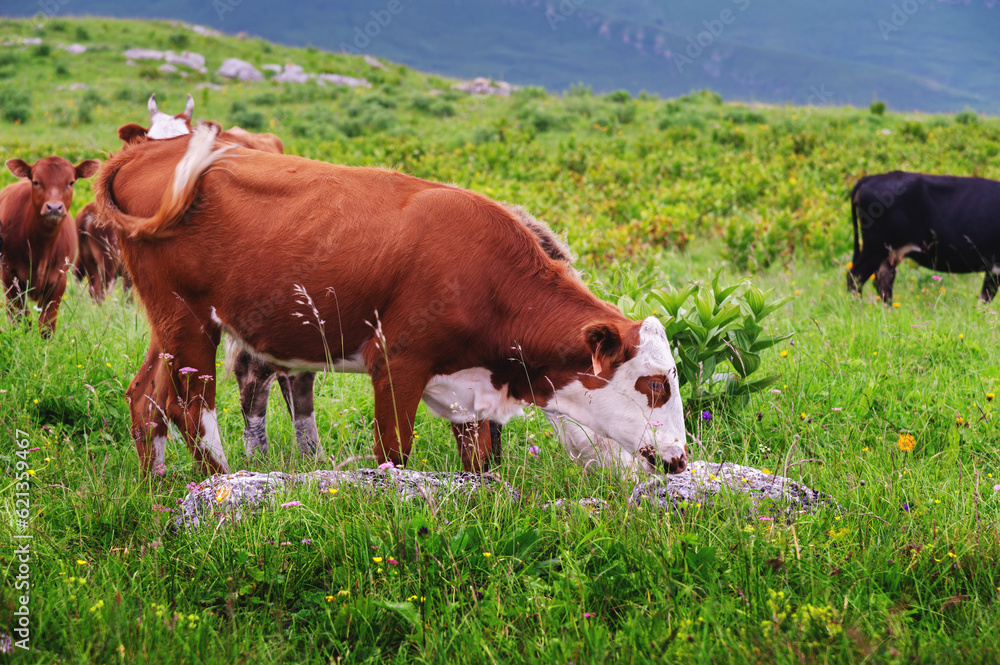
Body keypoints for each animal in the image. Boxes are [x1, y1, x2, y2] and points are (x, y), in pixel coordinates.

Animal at [1, 156, 100, 335]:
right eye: (36, 182)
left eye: (71, 182)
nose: (54, 207)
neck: (42, 247)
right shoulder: (9, 274)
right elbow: (21, 318)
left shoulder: (59, 277)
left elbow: (47, 323)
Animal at [94, 125, 688, 478]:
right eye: (656, 384)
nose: (680, 460)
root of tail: (141, 151)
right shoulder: (396, 362)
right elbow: (394, 454)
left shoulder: (466, 390)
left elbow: (480, 463)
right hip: (191, 322)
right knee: (190, 407)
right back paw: (220, 484)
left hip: (167, 325)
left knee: (145, 397)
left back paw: (155, 488)